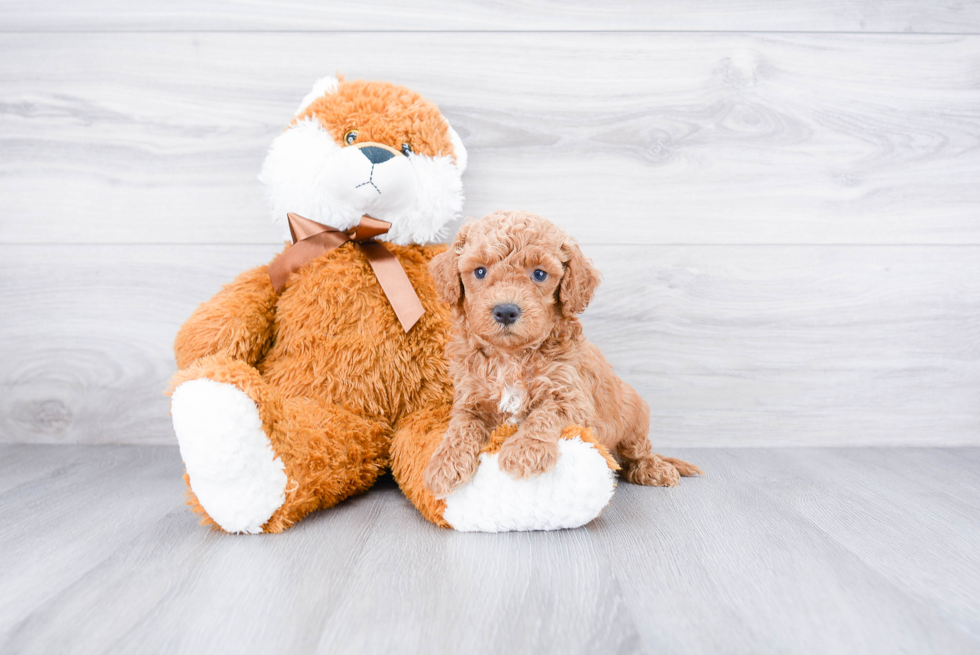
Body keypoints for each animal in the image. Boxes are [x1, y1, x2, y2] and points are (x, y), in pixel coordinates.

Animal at [424, 210, 700, 498]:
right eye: (479, 271)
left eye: (539, 274)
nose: (506, 311)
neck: (511, 356)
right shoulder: (470, 400)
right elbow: (461, 427)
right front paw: (444, 464)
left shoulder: (571, 398)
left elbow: (543, 414)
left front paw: (524, 451)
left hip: (633, 413)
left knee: (638, 452)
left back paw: (654, 469)